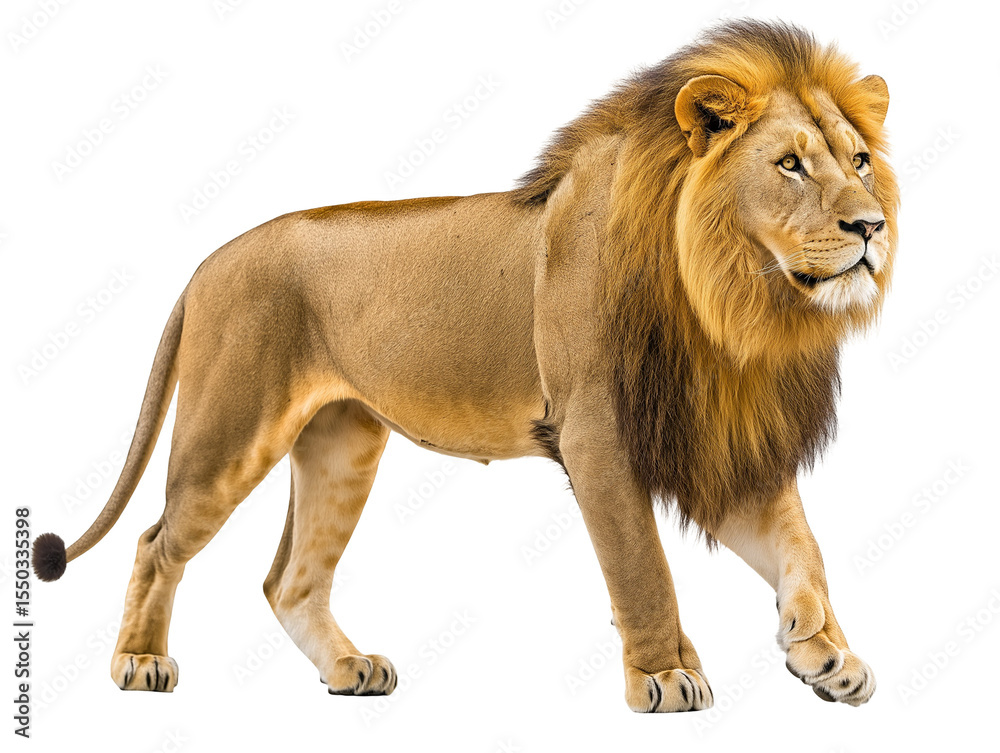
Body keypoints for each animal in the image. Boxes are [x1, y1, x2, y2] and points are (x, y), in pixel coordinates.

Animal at [32, 20, 897, 711]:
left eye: (859, 160)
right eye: (789, 164)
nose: (871, 226)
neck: (735, 301)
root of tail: (203, 264)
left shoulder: (713, 431)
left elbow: (803, 544)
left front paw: (820, 647)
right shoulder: (596, 433)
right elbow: (643, 568)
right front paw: (664, 675)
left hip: (342, 442)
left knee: (290, 578)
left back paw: (349, 669)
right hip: (230, 429)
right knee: (157, 542)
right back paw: (140, 662)